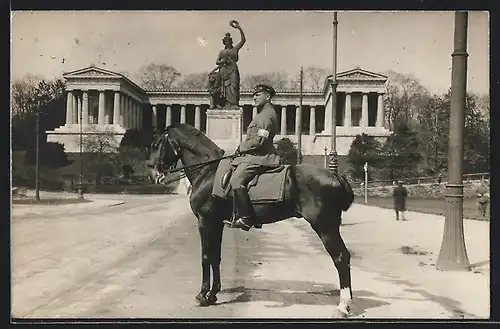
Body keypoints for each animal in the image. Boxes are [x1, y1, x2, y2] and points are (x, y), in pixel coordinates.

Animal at [145, 123, 356, 316]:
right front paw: (213, 294)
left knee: (340, 257)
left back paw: (343, 305)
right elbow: (215, 257)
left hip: (325, 226)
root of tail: (335, 175)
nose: (152, 174)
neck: (208, 172)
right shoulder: (217, 224)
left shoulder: (205, 221)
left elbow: (206, 256)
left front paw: (202, 295)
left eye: (156, 144)